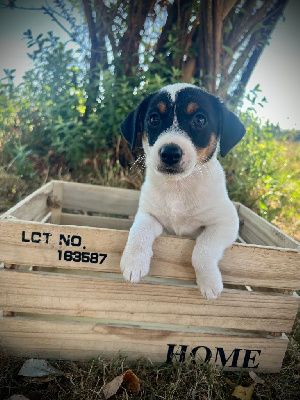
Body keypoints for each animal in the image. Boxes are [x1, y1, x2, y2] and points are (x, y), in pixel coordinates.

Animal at [118, 83, 245, 298]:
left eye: (200, 119)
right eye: (154, 119)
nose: (169, 153)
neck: (178, 188)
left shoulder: (226, 223)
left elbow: (203, 250)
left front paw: (209, 282)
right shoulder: (149, 215)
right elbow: (139, 230)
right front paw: (133, 261)